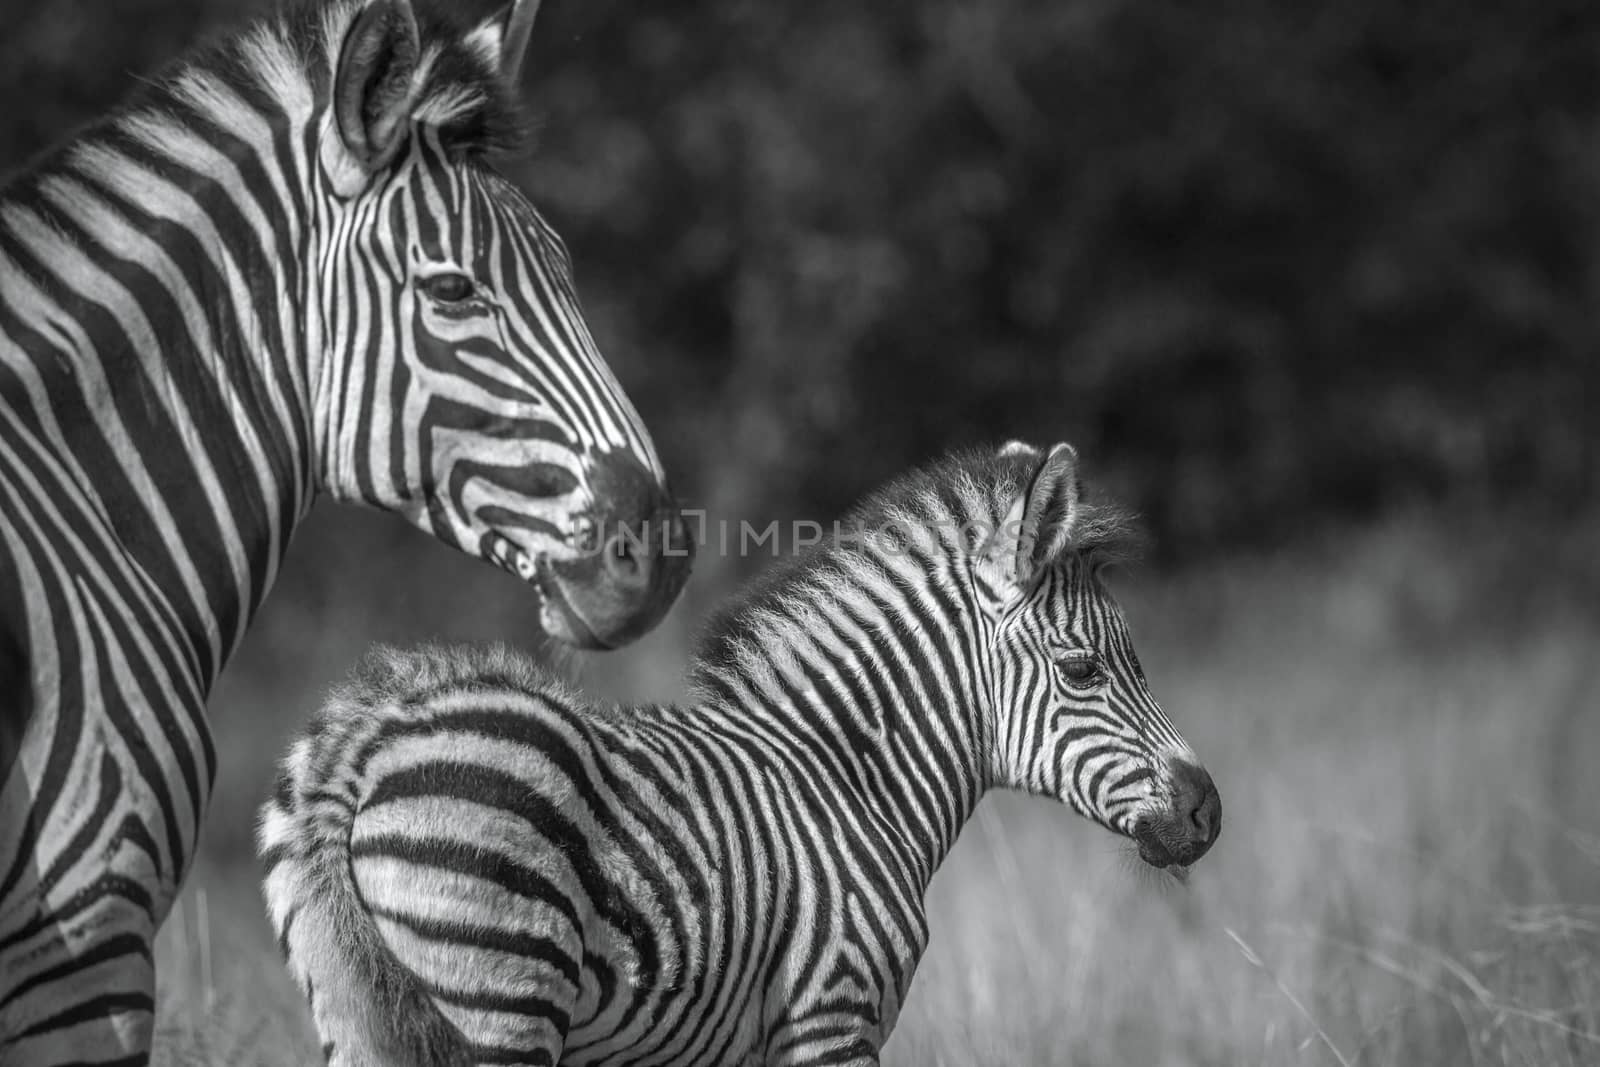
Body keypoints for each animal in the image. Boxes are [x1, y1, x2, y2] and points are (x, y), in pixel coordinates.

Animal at [262, 438, 1216, 1062]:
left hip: (358, 1010)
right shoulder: (831, 1013)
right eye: (1083, 668)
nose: (1207, 810)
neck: (851, 781)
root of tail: (364, 741)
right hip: (502, 992)